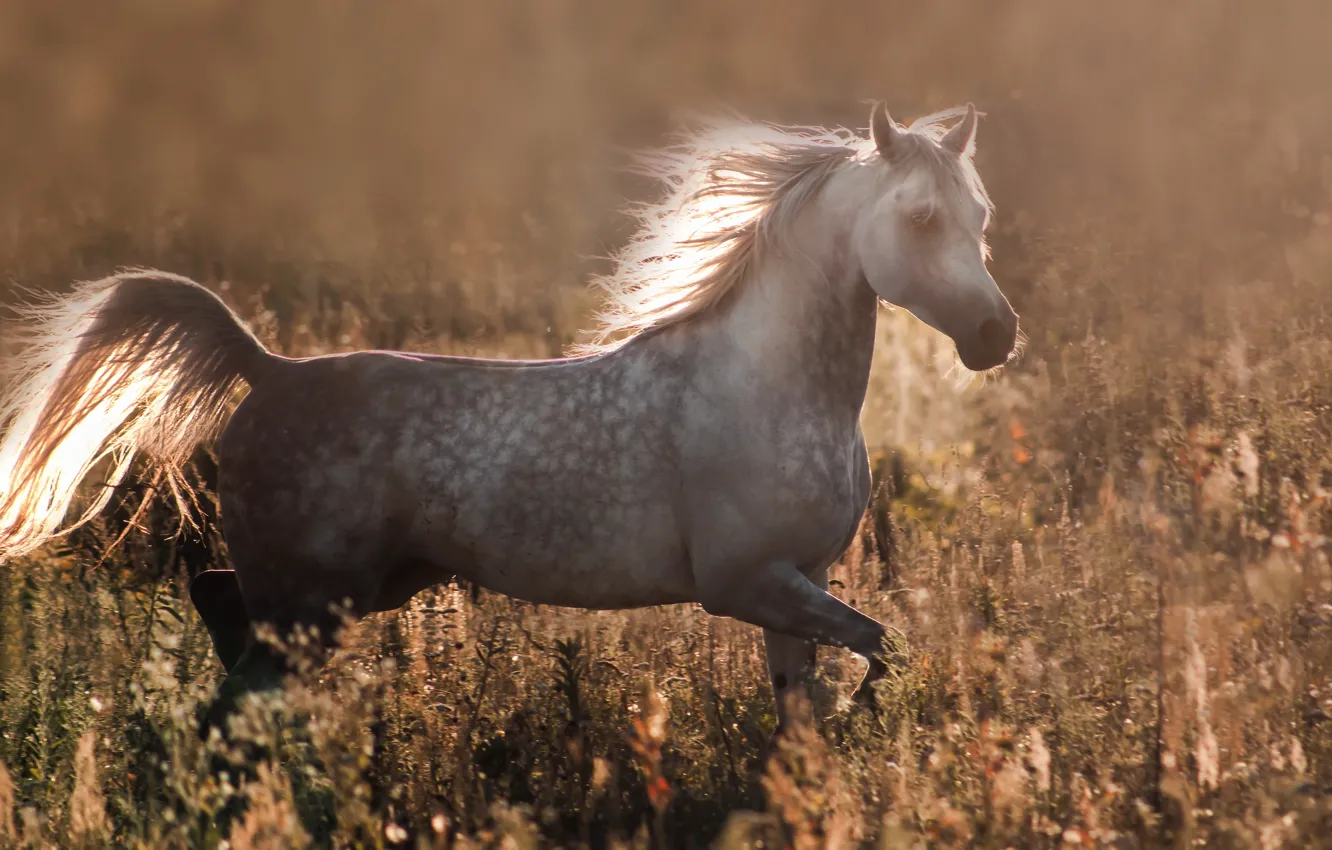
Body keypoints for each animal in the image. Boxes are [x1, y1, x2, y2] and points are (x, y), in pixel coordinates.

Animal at [0, 103, 1018, 732]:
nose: (995, 335)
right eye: (920, 217)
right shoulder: (746, 582)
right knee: (238, 683)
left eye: (980, 215)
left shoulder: (796, 582)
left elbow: (808, 704)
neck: (769, 388)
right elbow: (883, 648)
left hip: (360, 589)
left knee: (222, 619)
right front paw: (868, 719)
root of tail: (270, 369)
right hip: (314, 597)